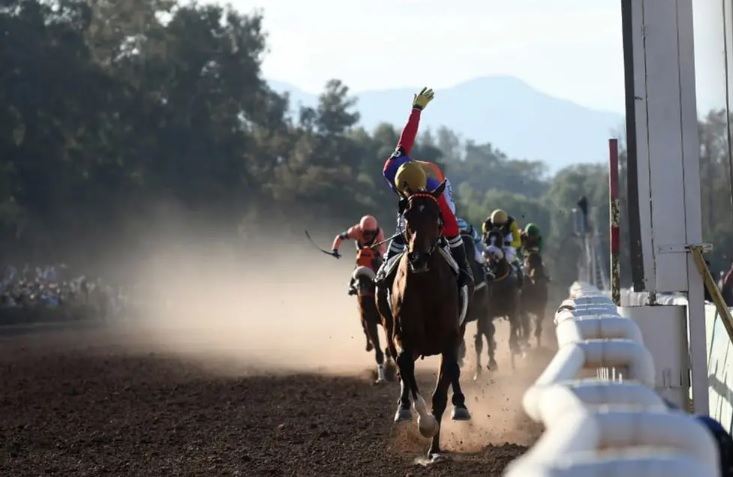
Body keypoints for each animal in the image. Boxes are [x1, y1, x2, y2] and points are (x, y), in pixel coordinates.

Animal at [374, 180, 472, 460]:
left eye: (437, 218)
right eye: (407, 216)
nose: (419, 259)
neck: (426, 286)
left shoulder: (450, 341)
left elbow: (440, 394)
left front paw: (435, 449)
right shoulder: (403, 339)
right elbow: (406, 369)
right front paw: (425, 424)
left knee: (454, 372)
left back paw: (460, 406)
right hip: (387, 326)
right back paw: (403, 407)